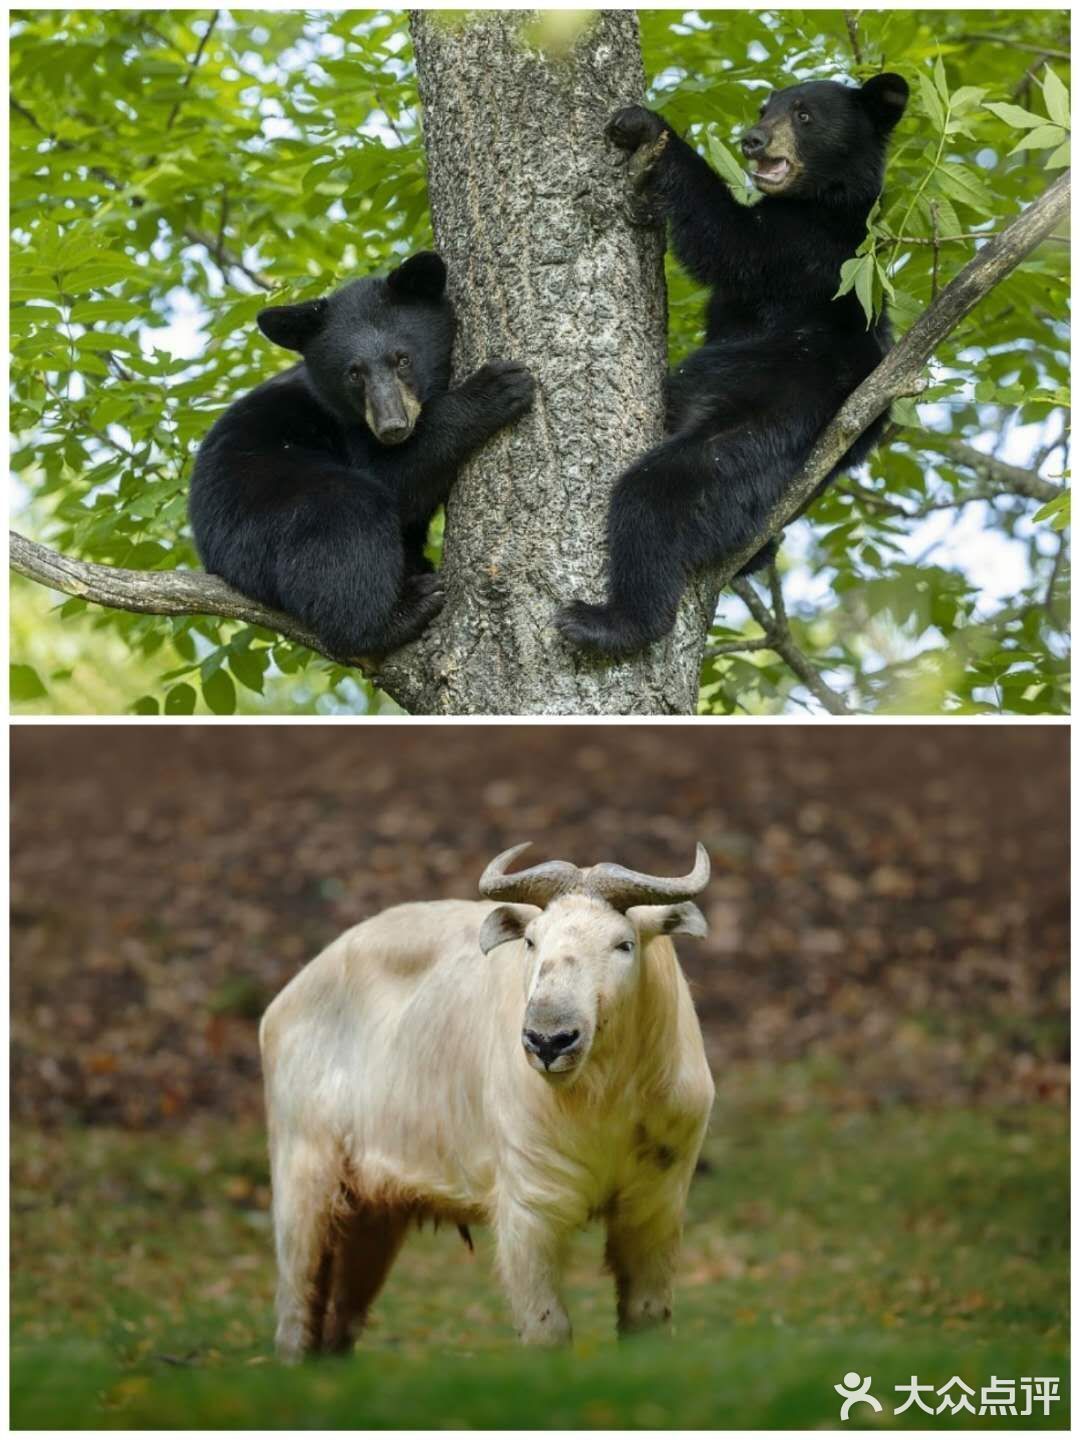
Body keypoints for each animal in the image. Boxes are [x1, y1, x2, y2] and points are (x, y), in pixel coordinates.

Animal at [189, 251, 534, 660]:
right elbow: (396, 477)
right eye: (354, 373)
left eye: (403, 359)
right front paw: (495, 388)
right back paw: (401, 611)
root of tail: (212, 558)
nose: (392, 426)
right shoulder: (349, 435)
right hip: (261, 515)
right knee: (348, 520)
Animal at [556, 73, 909, 660]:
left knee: (658, 495)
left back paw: (611, 621)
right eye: (766, 108)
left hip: (754, 429)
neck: (824, 200)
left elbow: (731, 242)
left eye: (804, 115)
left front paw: (646, 126)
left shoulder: (813, 251)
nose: (753, 140)